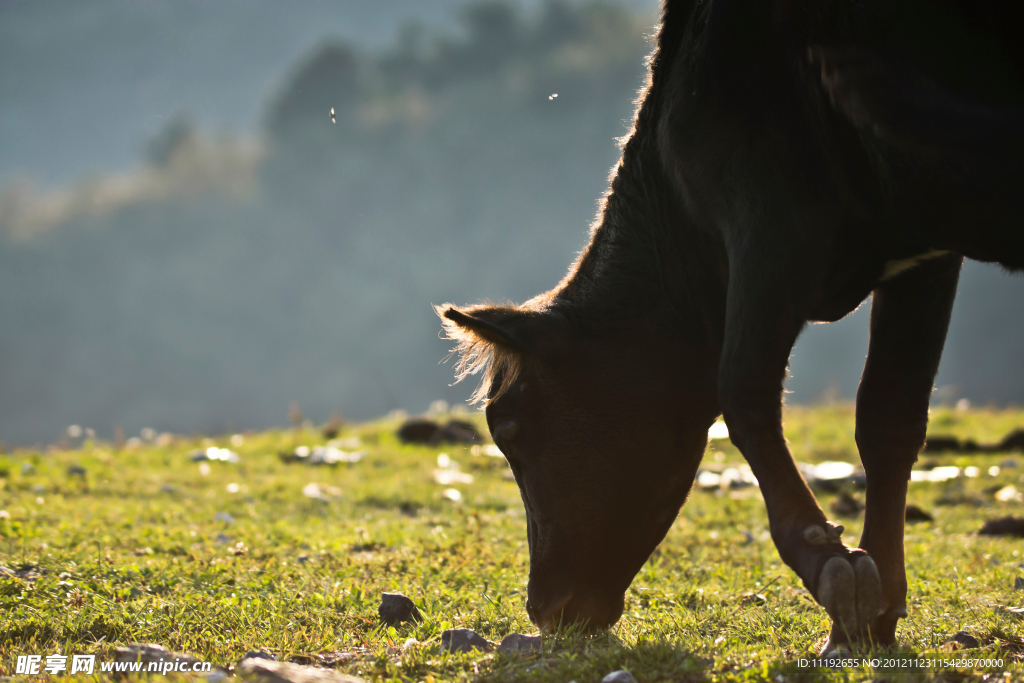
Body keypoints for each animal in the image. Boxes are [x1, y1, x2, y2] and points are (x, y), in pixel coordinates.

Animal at [434, 0, 1024, 651]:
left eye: (507, 427)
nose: (545, 609)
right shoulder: (922, 255)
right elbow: (888, 417)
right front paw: (874, 615)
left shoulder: (772, 218)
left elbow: (743, 390)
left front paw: (829, 565)